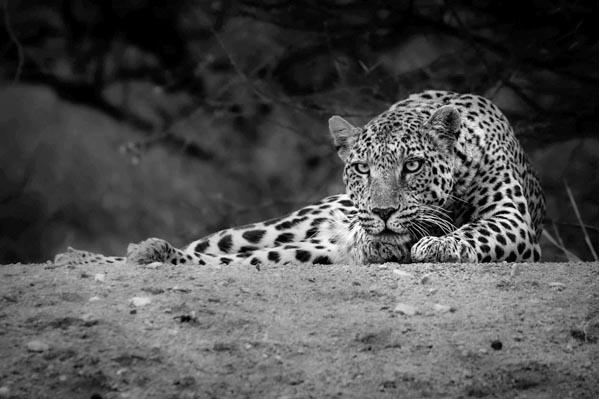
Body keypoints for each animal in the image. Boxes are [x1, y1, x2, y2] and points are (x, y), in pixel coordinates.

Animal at [54, 90, 548, 268]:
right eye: (362, 169)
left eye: (412, 166)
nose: (382, 212)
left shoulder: (513, 220)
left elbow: (475, 232)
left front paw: (437, 244)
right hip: (282, 227)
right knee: (216, 250)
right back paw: (103, 255)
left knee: (237, 260)